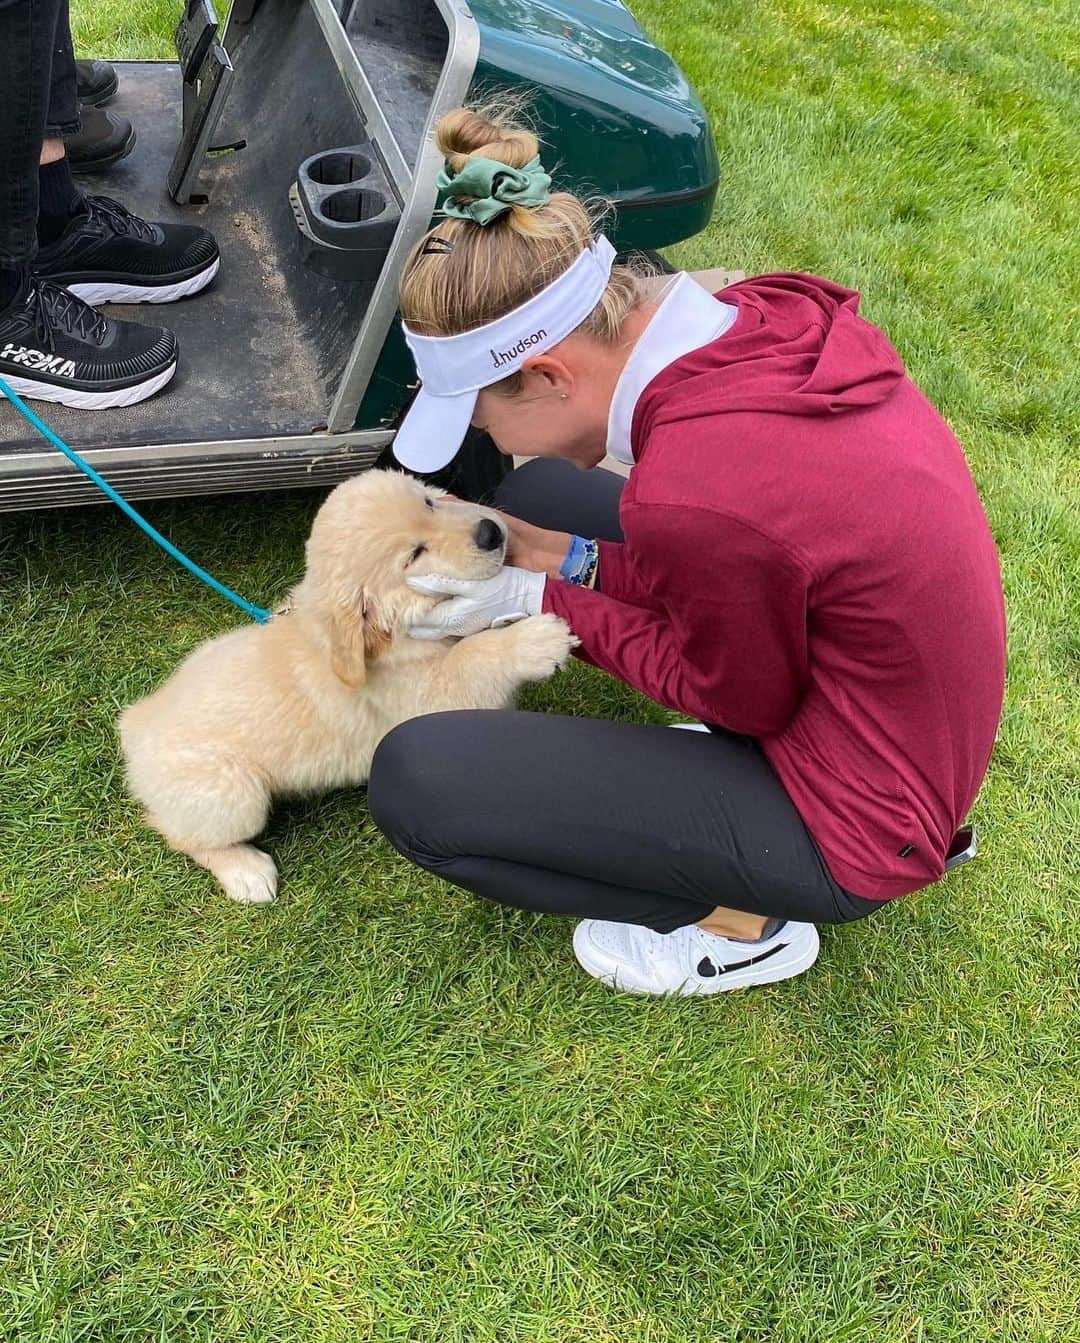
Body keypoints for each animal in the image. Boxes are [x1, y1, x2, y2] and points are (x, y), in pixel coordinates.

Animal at [116, 470, 574, 902]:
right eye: (415, 554)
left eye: (429, 503)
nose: (490, 532)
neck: (386, 639)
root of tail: (134, 724)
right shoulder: (427, 697)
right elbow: (472, 659)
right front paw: (535, 642)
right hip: (234, 792)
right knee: (179, 832)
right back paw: (245, 872)